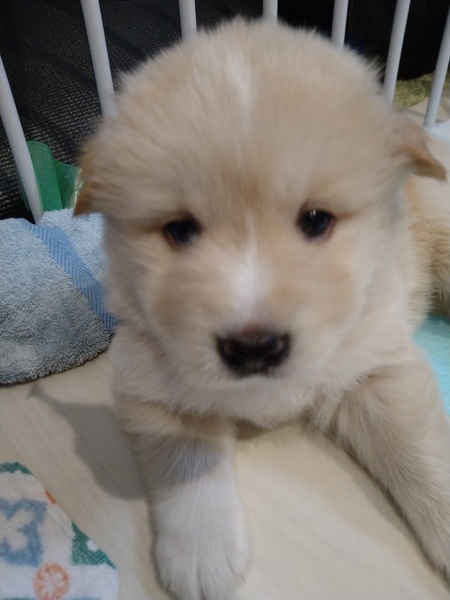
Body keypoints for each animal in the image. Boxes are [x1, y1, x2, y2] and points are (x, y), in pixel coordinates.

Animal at [75, 19, 450, 600]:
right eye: (179, 230)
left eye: (316, 220)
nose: (253, 347)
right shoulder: (147, 383)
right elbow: (187, 460)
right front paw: (202, 552)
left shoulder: (377, 370)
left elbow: (422, 454)